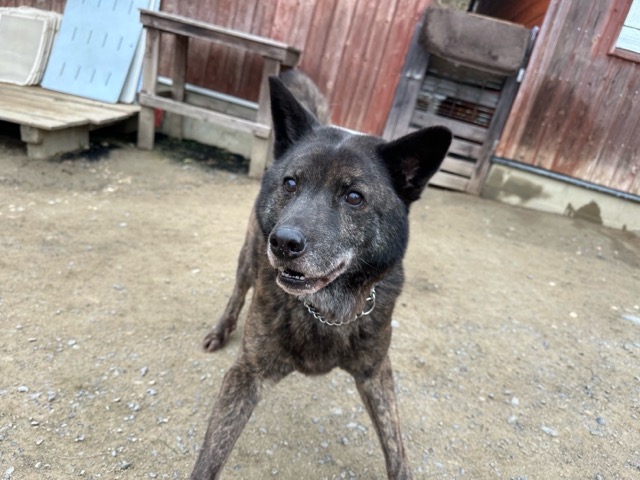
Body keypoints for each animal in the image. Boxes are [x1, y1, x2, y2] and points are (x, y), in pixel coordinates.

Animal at [192, 72, 452, 479]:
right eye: (291, 183)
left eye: (354, 197)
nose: (283, 243)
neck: (328, 310)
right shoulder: (246, 374)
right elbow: (210, 456)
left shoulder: (376, 373)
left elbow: (396, 448)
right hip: (248, 258)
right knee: (237, 291)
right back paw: (221, 329)